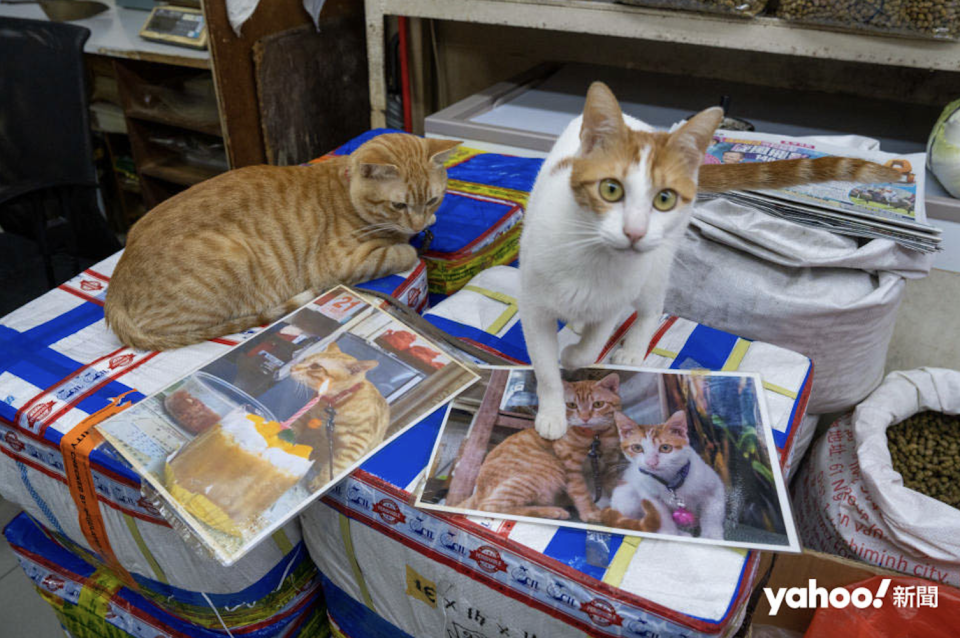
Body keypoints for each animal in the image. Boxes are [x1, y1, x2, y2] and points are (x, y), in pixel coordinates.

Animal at [106, 134, 462, 350]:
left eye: (433, 200)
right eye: (399, 205)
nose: (418, 223)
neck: (346, 190)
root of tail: (114, 291)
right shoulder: (338, 264)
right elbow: (400, 253)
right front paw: (409, 245)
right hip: (234, 257)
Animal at [288, 344, 390, 490]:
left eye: (315, 366)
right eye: (304, 359)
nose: (292, 368)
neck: (331, 404)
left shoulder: (354, 445)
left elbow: (335, 467)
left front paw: (320, 485)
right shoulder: (305, 416)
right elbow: (290, 430)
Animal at [516, 82, 900, 440]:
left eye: (665, 199)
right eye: (610, 190)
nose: (635, 232)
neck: (592, 257)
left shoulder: (618, 296)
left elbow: (593, 343)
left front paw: (575, 356)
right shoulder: (533, 307)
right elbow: (545, 366)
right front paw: (553, 411)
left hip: (659, 260)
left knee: (652, 304)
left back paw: (631, 346)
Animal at [612, 410, 724, 540]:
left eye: (665, 448)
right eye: (637, 448)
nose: (651, 462)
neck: (671, 481)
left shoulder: (713, 485)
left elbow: (713, 512)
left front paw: (712, 536)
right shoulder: (648, 493)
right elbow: (661, 516)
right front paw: (669, 534)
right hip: (625, 496)